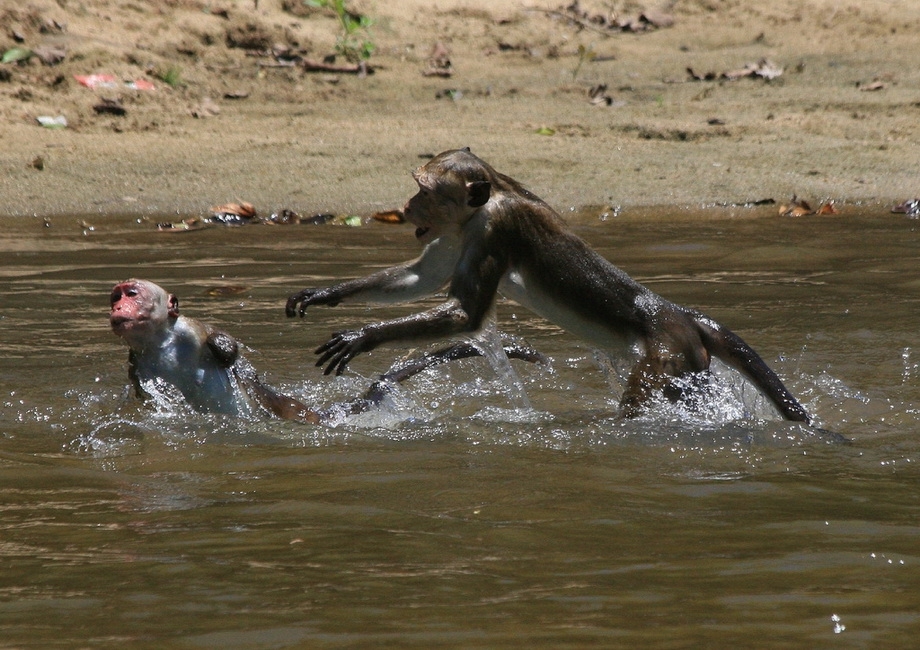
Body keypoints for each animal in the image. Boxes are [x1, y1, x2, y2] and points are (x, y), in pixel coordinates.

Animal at [113, 278, 548, 420]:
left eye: (131, 293)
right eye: (116, 295)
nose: (116, 307)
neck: (163, 342)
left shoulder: (187, 328)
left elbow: (225, 346)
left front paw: (223, 348)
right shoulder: (139, 360)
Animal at [288, 146, 812, 420]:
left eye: (423, 190)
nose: (406, 206)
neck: (494, 194)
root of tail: (676, 314)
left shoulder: (493, 229)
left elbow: (466, 314)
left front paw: (362, 337)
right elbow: (425, 274)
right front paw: (327, 294)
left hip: (670, 356)